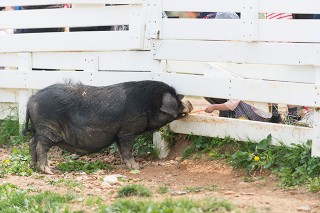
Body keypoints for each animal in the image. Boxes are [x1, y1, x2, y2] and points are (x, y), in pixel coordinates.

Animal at [23, 80, 192, 174]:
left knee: (31, 142)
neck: (147, 104)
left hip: (39, 130)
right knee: (40, 146)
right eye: (176, 99)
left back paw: (32, 166)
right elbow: (127, 149)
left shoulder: (118, 134)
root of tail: (31, 100)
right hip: (48, 129)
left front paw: (129, 165)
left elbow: (121, 150)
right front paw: (137, 167)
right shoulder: (127, 131)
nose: (189, 103)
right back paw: (48, 170)